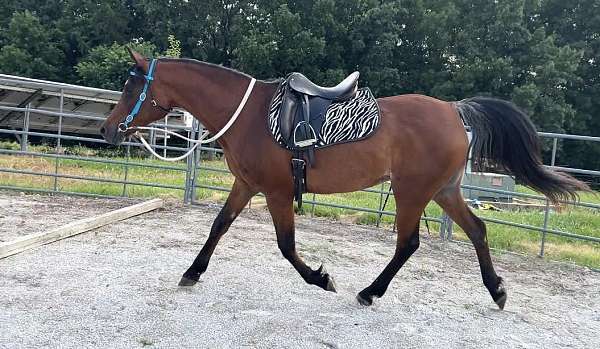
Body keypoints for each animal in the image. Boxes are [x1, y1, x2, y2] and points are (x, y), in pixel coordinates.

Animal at [101, 49, 588, 308]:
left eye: (131, 87)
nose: (108, 129)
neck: (252, 115)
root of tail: (455, 110)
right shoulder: (247, 186)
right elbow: (218, 226)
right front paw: (193, 271)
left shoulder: (277, 192)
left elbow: (286, 246)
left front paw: (321, 278)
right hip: (444, 192)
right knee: (478, 230)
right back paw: (496, 289)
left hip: (412, 193)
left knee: (408, 243)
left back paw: (371, 292)